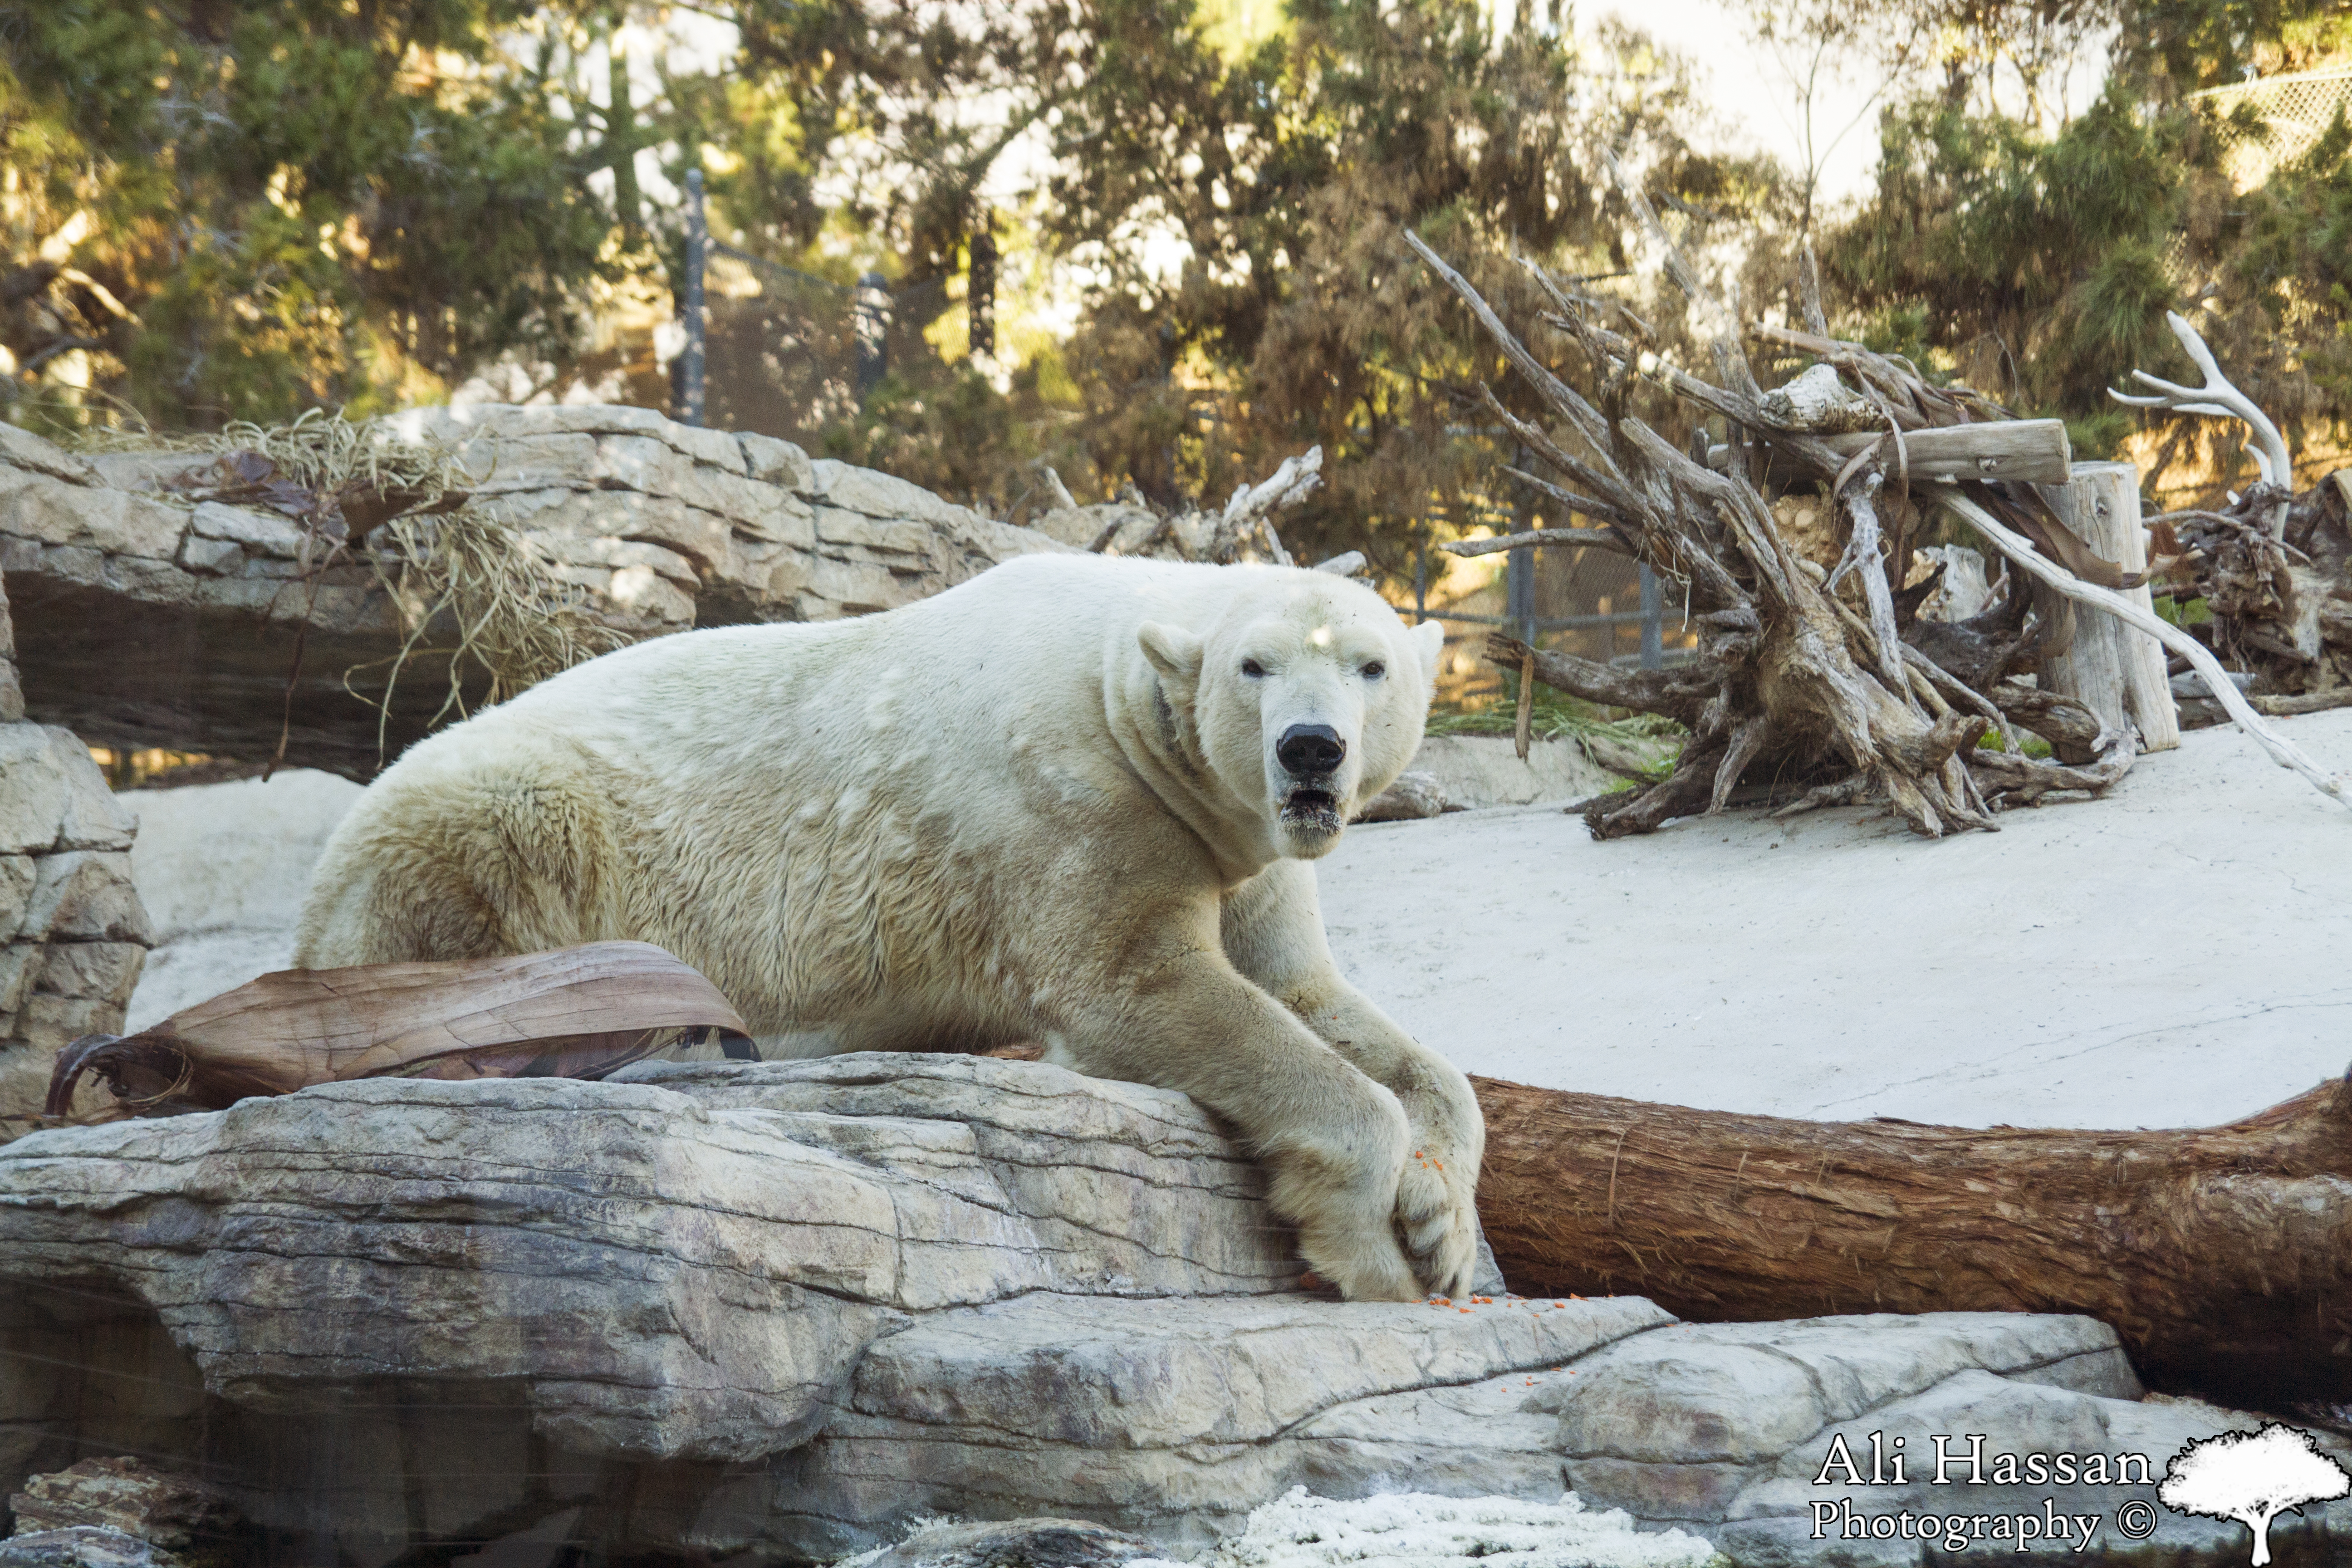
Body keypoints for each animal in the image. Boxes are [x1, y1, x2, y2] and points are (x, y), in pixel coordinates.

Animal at [289, 552, 1467, 1298]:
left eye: (1369, 665)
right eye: (1252, 666)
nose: (1310, 748)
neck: (1119, 682)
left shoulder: (1241, 847)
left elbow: (1321, 999)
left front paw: (1441, 1224)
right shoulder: (1078, 796)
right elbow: (1137, 982)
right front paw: (1369, 1250)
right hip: (506, 814)